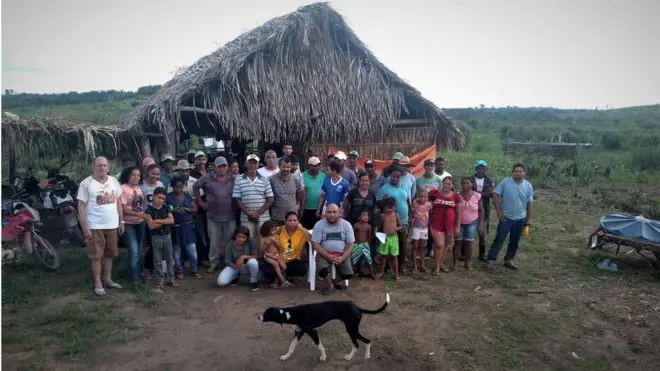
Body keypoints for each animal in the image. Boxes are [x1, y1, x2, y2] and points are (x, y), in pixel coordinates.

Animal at [256, 294, 392, 360]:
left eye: (266, 314)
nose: (258, 317)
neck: (291, 314)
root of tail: (356, 306)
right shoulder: (298, 333)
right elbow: (291, 347)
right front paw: (286, 356)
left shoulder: (312, 332)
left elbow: (320, 346)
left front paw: (324, 357)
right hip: (353, 330)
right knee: (367, 341)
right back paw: (366, 355)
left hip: (351, 330)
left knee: (358, 344)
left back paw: (350, 357)